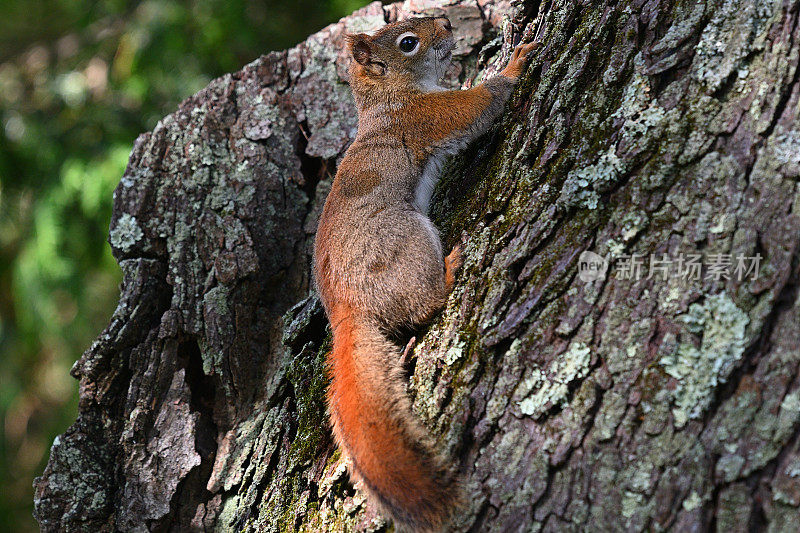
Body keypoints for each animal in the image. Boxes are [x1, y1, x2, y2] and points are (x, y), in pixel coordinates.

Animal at [314, 16, 536, 532]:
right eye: (408, 43)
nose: (448, 22)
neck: (388, 99)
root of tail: (345, 309)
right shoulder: (423, 118)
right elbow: (473, 107)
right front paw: (514, 64)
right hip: (406, 242)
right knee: (426, 301)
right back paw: (451, 269)